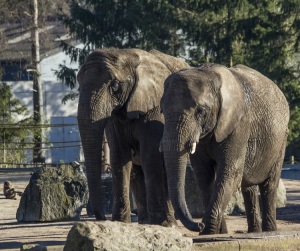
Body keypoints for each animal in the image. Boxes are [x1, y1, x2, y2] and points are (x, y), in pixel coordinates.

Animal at [77, 47, 190, 226]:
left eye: (115, 85)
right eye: (79, 85)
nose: (101, 218)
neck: (126, 54)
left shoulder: (154, 108)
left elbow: (150, 155)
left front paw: (159, 223)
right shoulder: (115, 117)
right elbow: (119, 157)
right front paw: (120, 223)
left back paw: (168, 222)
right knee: (138, 171)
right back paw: (144, 222)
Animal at [161, 63, 290, 235]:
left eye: (201, 111)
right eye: (162, 110)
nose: (198, 225)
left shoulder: (239, 125)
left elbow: (230, 173)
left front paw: (208, 231)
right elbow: (203, 176)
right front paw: (216, 232)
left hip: (281, 140)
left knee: (269, 184)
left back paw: (269, 231)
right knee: (248, 187)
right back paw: (254, 232)